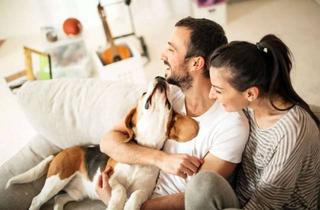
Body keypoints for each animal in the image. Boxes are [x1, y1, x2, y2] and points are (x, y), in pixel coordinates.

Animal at [6, 76, 199, 210]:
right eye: (144, 94)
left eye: (169, 102)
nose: (160, 77)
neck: (143, 151)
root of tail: (63, 151)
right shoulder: (109, 176)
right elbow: (120, 190)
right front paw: (116, 204)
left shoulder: (145, 190)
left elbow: (136, 194)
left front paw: (130, 206)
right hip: (57, 179)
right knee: (37, 200)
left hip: (76, 193)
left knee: (59, 199)